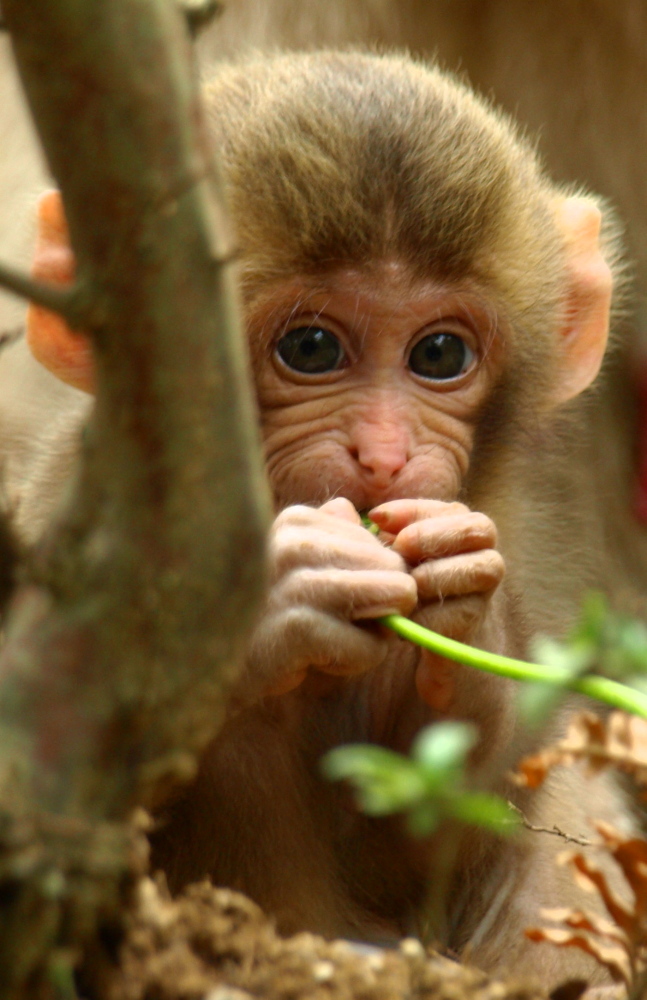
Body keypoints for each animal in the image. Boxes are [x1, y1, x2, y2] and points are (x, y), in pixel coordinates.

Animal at [12, 50, 636, 980]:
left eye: (438, 355)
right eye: (310, 349)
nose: (381, 454)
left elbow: (442, 829)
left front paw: (465, 604)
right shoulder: (74, 520)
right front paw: (274, 593)